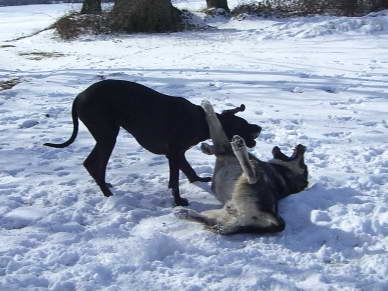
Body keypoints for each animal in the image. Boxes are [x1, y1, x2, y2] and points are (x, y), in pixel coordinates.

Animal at [44, 80, 260, 206]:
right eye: (243, 124)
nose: (259, 128)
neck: (202, 120)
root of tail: (79, 96)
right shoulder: (174, 152)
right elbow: (175, 180)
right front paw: (178, 201)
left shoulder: (176, 153)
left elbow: (186, 170)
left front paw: (197, 180)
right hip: (107, 135)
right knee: (93, 163)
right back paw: (107, 194)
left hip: (105, 135)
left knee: (93, 164)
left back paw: (106, 186)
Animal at [177, 100, 310, 235]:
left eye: (304, 166)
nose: (302, 146)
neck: (282, 171)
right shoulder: (222, 150)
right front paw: (206, 148)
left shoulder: (224, 147)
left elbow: (214, 120)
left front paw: (206, 104)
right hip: (222, 216)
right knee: (210, 221)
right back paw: (185, 214)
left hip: (253, 172)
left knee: (252, 175)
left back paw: (239, 146)